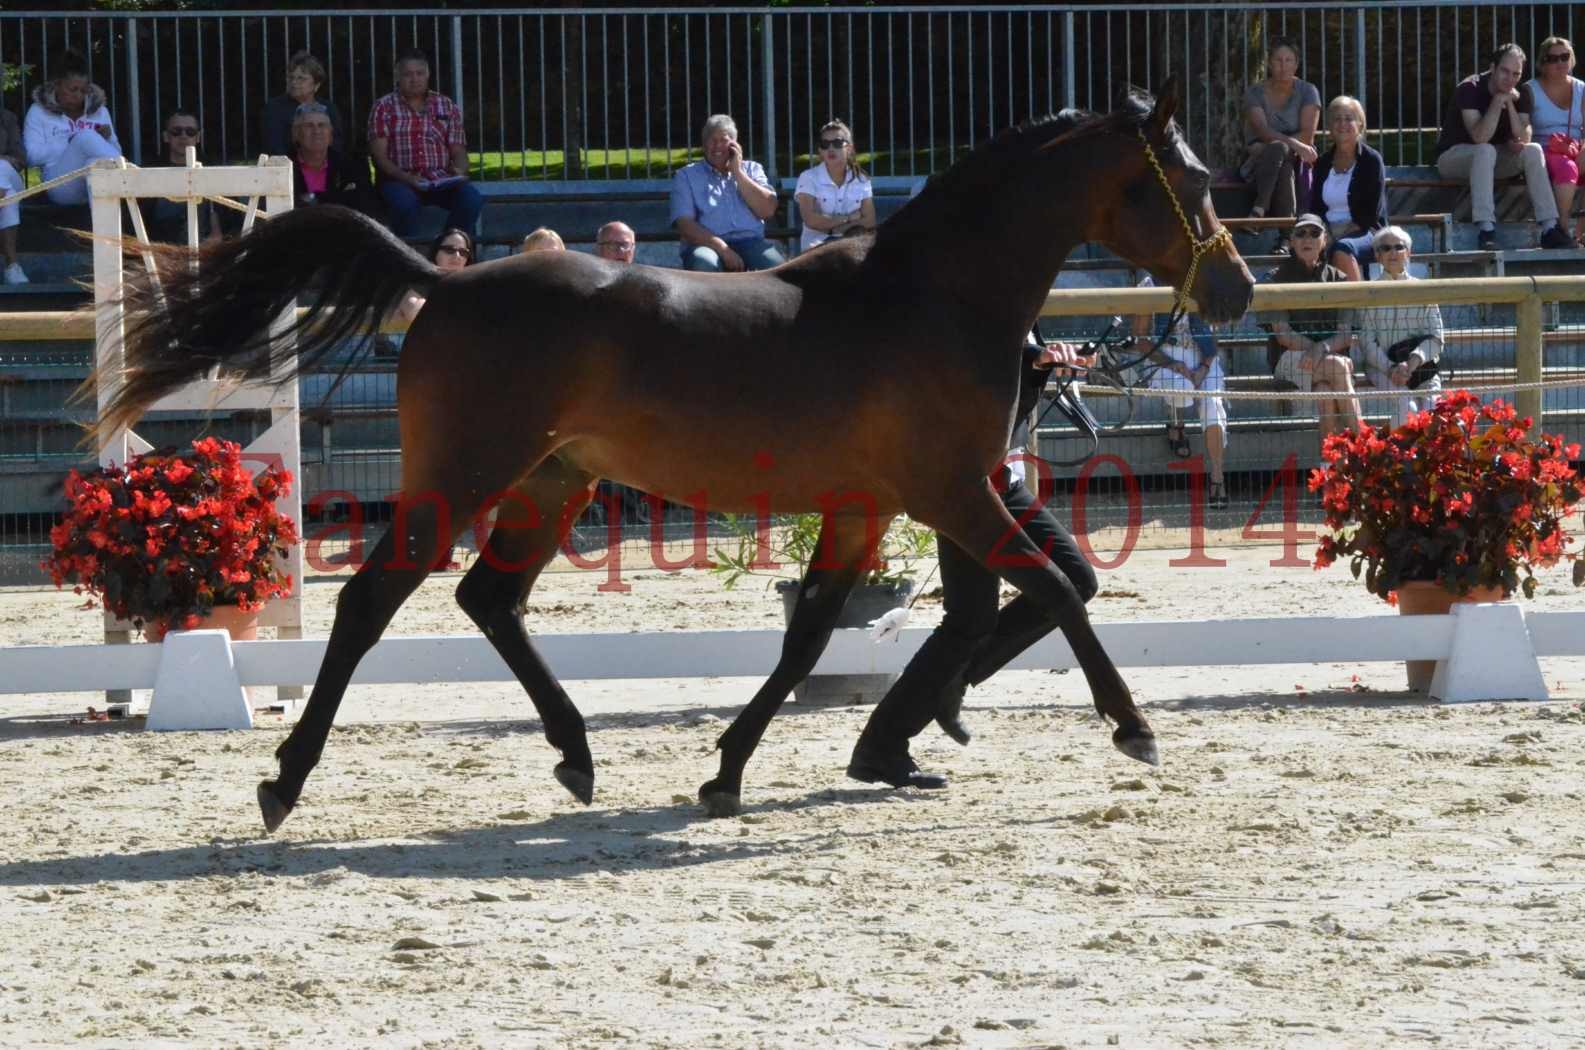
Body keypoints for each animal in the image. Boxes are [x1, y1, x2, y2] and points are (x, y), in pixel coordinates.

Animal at [95, 78, 1248, 837]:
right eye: (1184, 180)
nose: (1234, 289)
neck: (931, 294)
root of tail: (448, 282)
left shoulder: (869, 504)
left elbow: (815, 634)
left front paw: (732, 771)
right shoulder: (953, 490)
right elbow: (1052, 586)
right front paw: (1131, 728)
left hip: (554, 481)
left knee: (489, 601)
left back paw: (575, 756)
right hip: (464, 476)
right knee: (372, 603)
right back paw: (285, 781)